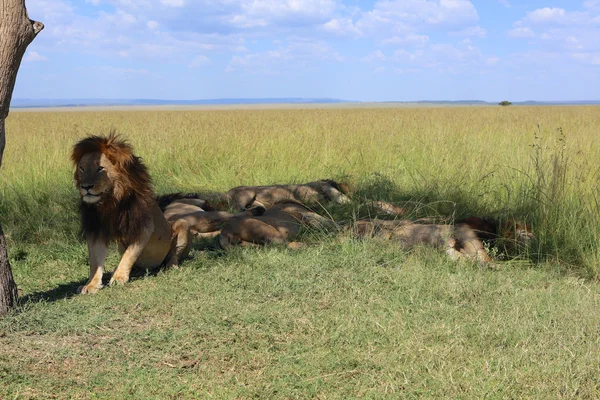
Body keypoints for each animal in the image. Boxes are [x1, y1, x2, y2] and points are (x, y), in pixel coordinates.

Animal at [72, 133, 186, 292]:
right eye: (82, 168)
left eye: (100, 168)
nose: (86, 186)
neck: (110, 201)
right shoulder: (96, 230)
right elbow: (95, 261)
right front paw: (91, 284)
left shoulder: (144, 227)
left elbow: (130, 254)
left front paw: (119, 277)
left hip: (182, 224)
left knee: (174, 255)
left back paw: (171, 267)